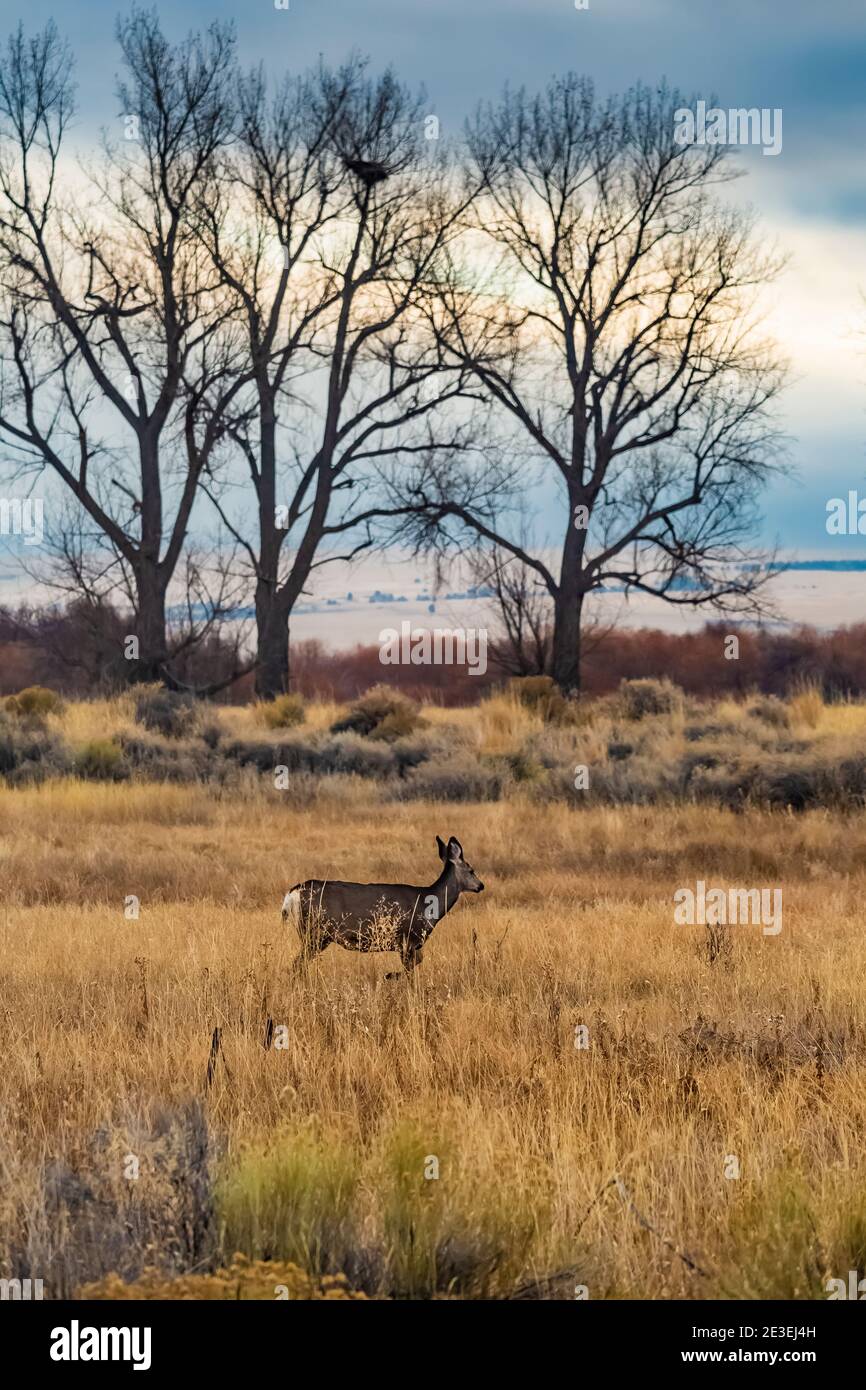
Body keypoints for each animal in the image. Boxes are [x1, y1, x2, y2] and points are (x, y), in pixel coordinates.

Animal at [281, 835, 484, 979]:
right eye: (471, 870)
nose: (481, 885)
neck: (428, 904)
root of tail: (292, 894)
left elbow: (418, 963)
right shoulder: (407, 939)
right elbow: (412, 969)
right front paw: (391, 976)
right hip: (315, 933)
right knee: (297, 964)